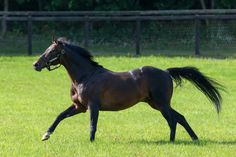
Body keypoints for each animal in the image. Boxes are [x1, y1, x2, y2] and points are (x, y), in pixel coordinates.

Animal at [33, 37, 223, 142]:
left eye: (51, 51)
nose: (35, 64)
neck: (86, 76)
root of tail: (166, 72)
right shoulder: (79, 107)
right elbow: (59, 116)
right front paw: (46, 135)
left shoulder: (93, 106)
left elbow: (93, 125)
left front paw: (91, 141)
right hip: (155, 104)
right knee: (180, 118)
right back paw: (194, 138)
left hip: (161, 104)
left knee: (172, 120)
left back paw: (172, 140)